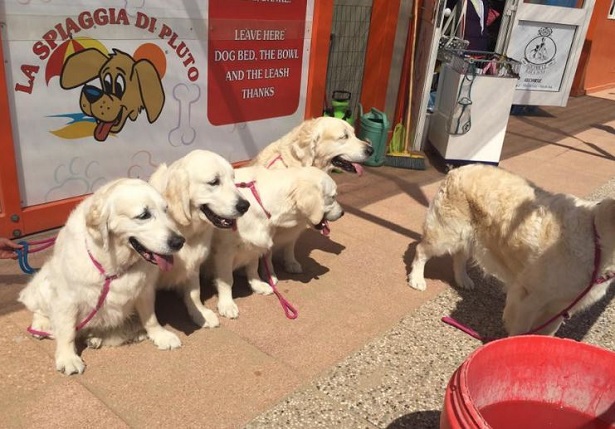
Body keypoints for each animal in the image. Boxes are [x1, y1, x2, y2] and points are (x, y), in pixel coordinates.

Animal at [19, 179, 188, 372]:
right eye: (144, 215)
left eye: (166, 210)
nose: (179, 241)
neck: (113, 264)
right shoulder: (67, 298)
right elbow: (66, 330)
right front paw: (68, 357)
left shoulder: (145, 290)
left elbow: (151, 317)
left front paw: (160, 335)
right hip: (45, 283)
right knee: (39, 309)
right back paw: (41, 325)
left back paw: (98, 337)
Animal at [149, 150, 250, 328]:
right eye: (214, 182)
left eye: (233, 179)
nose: (245, 205)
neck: (184, 230)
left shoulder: (194, 264)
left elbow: (194, 294)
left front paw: (199, 313)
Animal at [211, 166, 346, 316]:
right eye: (333, 197)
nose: (343, 213)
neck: (262, 201)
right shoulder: (224, 251)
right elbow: (227, 279)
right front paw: (226, 304)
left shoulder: (255, 243)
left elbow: (253, 267)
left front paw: (258, 285)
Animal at [410, 164, 615, 334]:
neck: (597, 242)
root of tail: (458, 169)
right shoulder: (527, 296)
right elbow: (520, 332)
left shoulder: (561, 306)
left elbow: (546, 334)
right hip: (447, 234)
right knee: (421, 250)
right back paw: (417, 279)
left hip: (468, 234)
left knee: (459, 256)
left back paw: (463, 279)